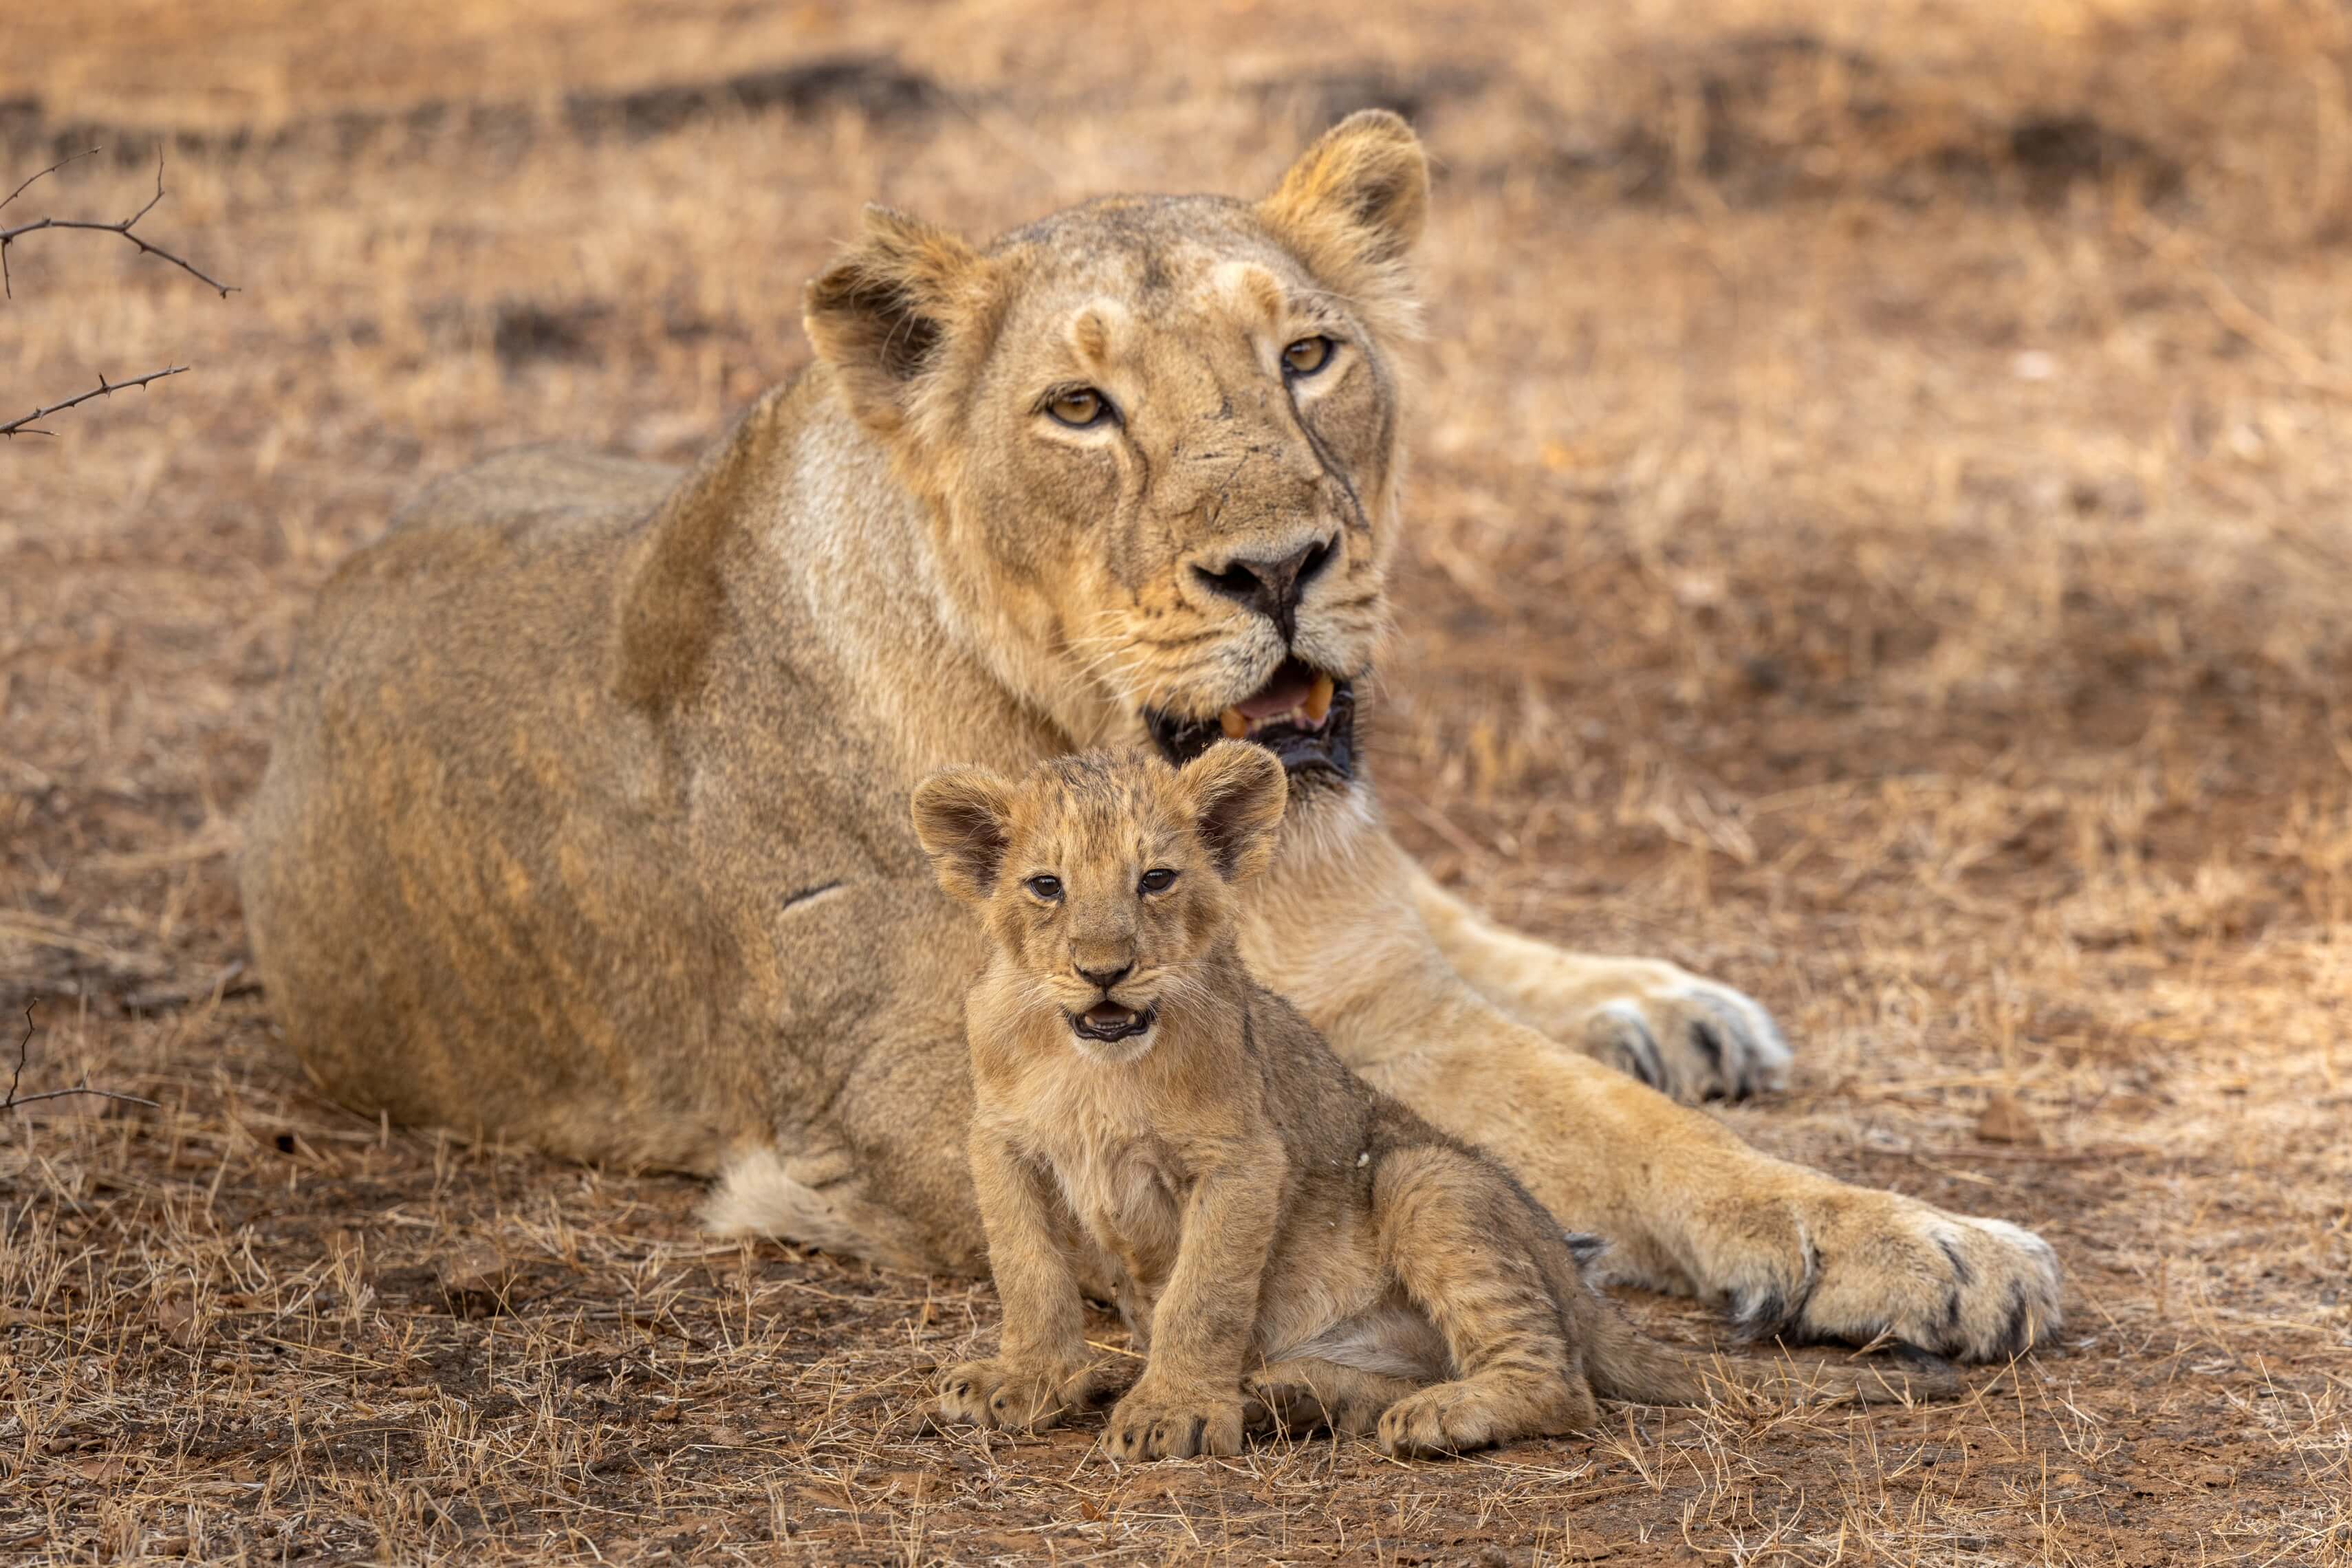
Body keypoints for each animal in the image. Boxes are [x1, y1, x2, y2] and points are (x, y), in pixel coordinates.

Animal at [239, 110, 2062, 1361]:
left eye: (1308, 354)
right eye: (1078, 408)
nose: (1281, 566)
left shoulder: (1357, 984)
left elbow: (1599, 1123)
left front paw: (1894, 1234)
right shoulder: (912, 1111)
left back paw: (1659, 1005)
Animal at [915, 744, 1950, 1460]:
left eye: (1157, 879)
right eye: (1046, 887)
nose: (1104, 972)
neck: (1095, 1062)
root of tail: (1579, 1286)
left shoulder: (1242, 1156)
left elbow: (1203, 1293)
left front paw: (1174, 1412)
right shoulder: (1000, 1145)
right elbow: (1029, 1272)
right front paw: (1030, 1381)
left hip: (1428, 1183)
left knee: (1558, 1383)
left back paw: (1436, 1416)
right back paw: (1291, 1399)